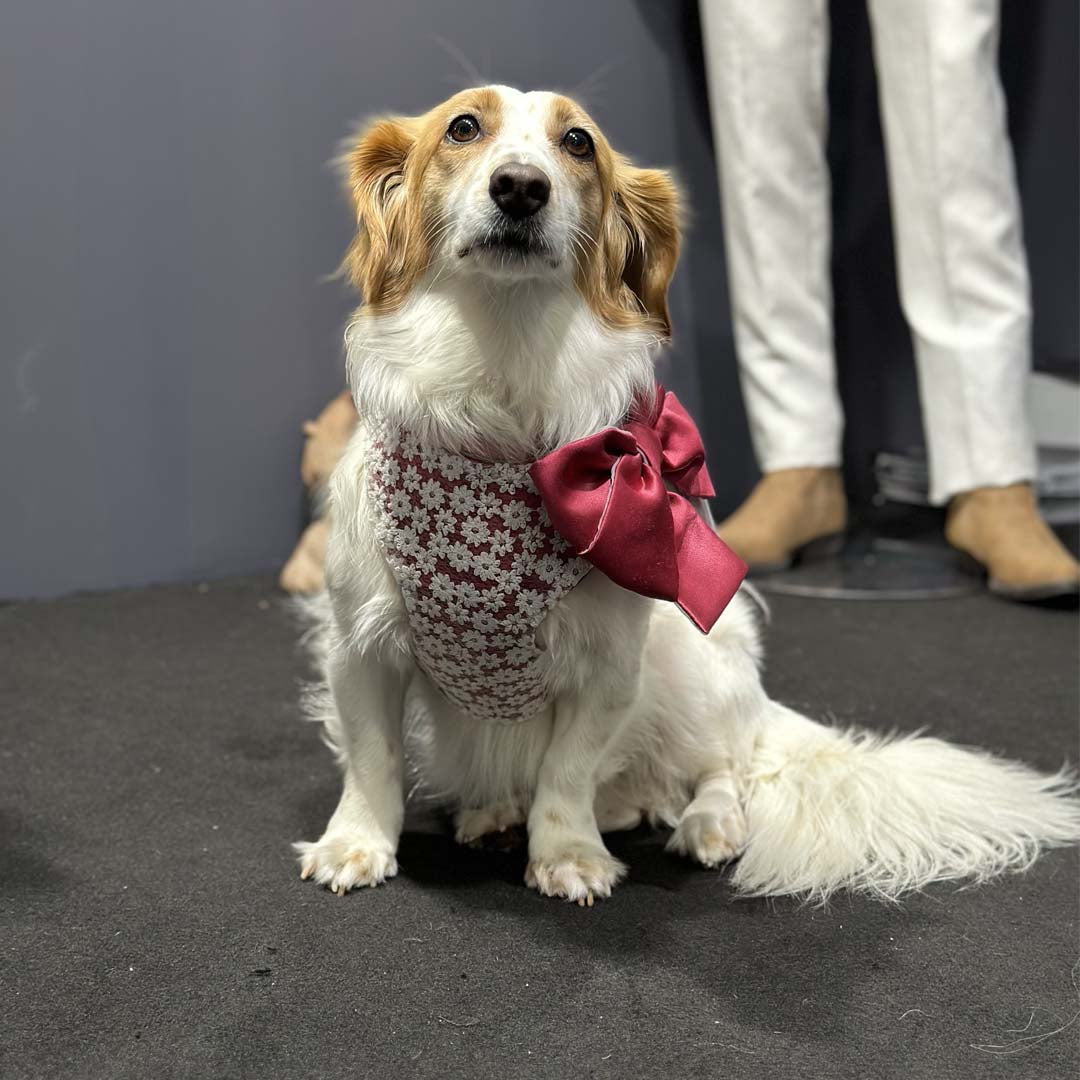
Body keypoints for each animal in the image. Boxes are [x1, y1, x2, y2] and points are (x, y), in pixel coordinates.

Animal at [291, 86, 1075, 902]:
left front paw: (568, 853)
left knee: (717, 767)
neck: (505, 375)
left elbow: (567, 773)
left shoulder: (610, 665)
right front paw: (357, 843)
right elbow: (373, 759)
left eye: (578, 143)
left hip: (690, 659)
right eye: (463, 128)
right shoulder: (359, 646)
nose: (521, 187)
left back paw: (707, 824)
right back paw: (502, 812)